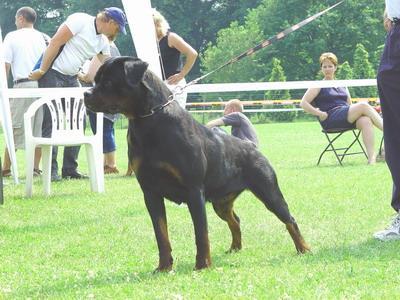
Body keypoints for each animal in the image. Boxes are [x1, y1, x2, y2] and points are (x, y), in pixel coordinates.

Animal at [83, 56, 310, 272]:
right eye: (95, 80)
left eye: (108, 81)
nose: (86, 94)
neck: (150, 121)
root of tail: (251, 146)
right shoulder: (150, 193)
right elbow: (161, 235)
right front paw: (164, 266)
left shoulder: (194, 191)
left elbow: (201, 233)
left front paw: (202, 265)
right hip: (221, 202)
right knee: (235, 220)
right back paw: (235, 248)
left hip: (268, 191)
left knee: (289, 219)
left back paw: (303, 248)